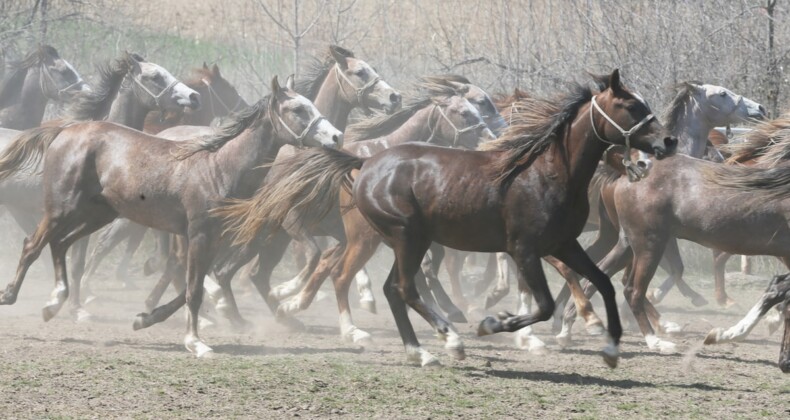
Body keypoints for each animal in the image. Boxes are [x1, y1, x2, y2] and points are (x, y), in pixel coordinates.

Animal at [0, 75, 344, 354]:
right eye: (298, 110)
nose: (336, 136)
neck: (218, 167)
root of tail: (66, 130)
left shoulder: (212, 239)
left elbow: (196, 284)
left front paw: (145, 318)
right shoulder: (199, 236)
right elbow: (193, 288)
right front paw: (196, 342)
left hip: (98, 214)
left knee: (60, 244)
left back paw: (53, 303)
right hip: (63, 208)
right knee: (33, 245)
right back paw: (12, 296)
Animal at [224, 70, 680, 366]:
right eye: (630, 105)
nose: (667, 141)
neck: (548, 171)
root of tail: (363, 162)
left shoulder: (563, 244)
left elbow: (601, 281)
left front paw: (610, 346)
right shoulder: (525, 249)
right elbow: (544, 303)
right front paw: (494, 324)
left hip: (407, 240)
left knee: (390, 287)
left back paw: (419, 349)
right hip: (404, 237)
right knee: (394, 286)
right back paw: (446, 341)